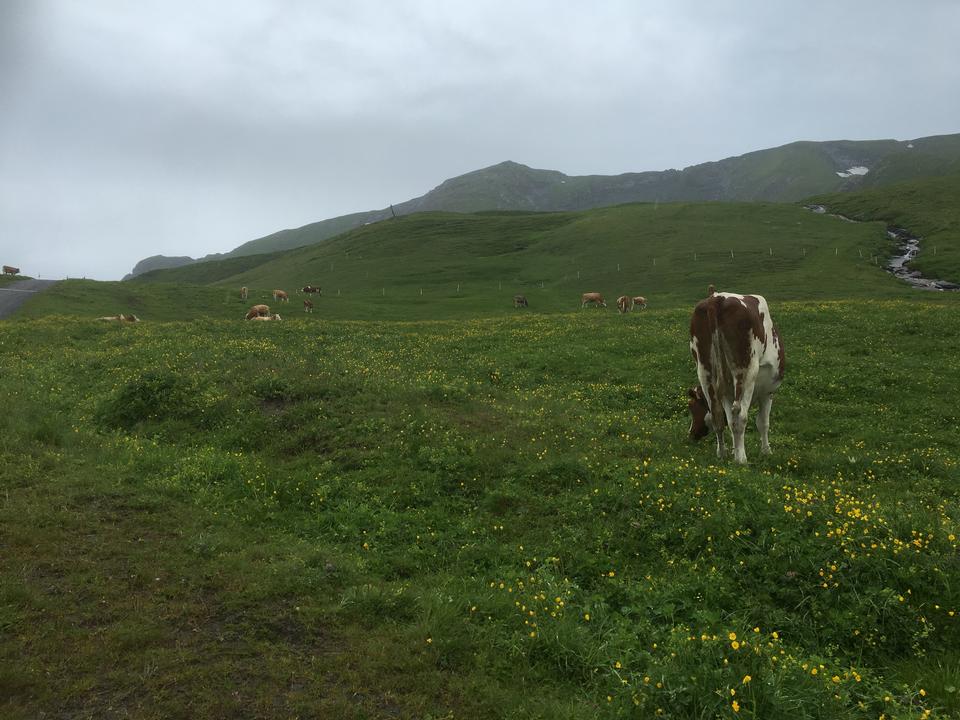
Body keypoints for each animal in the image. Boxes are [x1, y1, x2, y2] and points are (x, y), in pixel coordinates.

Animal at [688, 284, 788, 464]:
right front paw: (766, 451)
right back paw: (741, 460)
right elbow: (763, 422)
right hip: (745, 371)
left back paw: (722, 453)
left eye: (691, 407)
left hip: (705, 371)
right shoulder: (768, 391)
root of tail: (716, 298)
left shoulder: (727, 394)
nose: (690, 434)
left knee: (717, 416)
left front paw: (734, 450)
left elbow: (728, 420)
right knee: (740, 415)